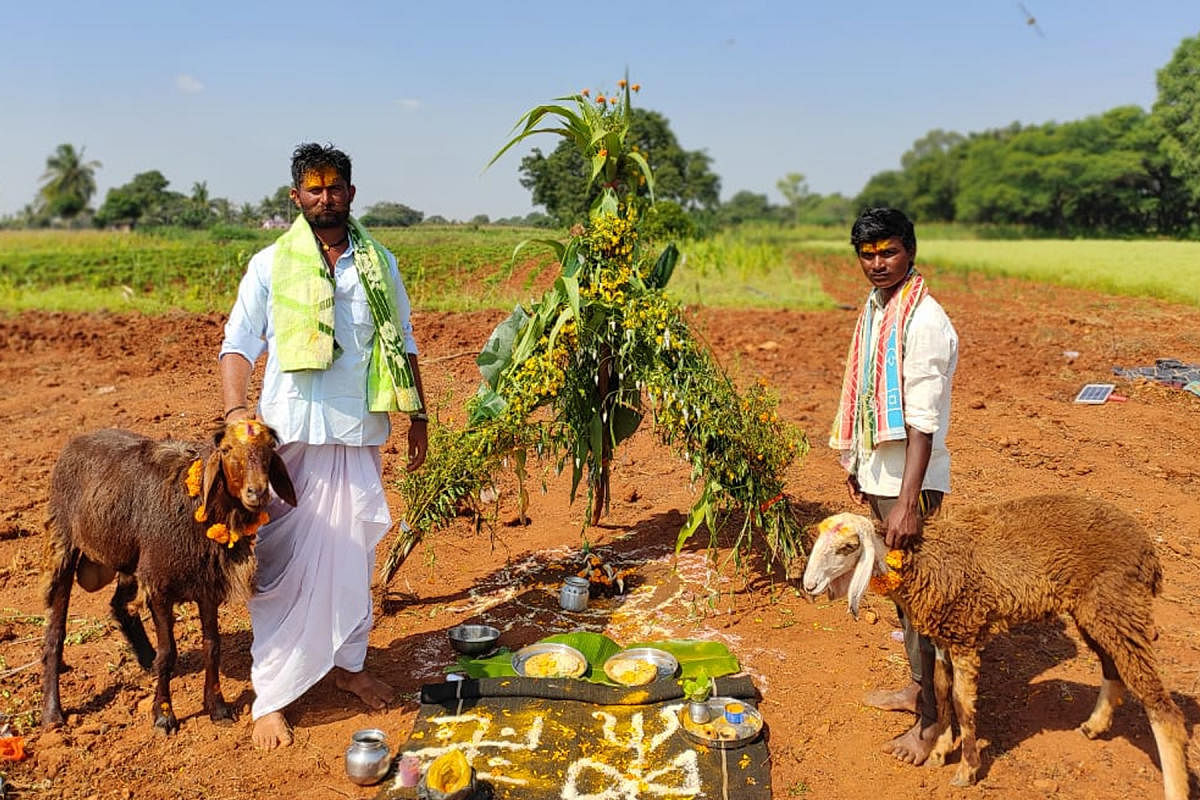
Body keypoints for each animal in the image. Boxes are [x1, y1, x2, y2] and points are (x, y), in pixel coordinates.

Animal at [42, 422, 297, 734]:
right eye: (226, 450)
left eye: (269, 449)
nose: (257, 493)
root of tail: (78, 438)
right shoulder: (159, 588)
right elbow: (168, 653)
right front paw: (163, 715)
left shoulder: (207, 586)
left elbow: (212, 646)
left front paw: (218, 708)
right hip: (65, 541)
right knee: (56, 631)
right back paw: (52, 712)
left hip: (132, 560)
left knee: (119, 605)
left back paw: (144, 658)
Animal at [801, 494, 1185, 800]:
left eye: (847, 548)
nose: (809, 585)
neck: (921, 560)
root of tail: (1147, 546)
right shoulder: (944, 637)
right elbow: (942, 692)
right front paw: (940, 752)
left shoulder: (965, 633)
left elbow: (961, 702)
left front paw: (967, 770)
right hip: (1096, 610)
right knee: (1112, 666)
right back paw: (1095, 725)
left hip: (1119, 602)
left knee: (1161, 705)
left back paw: (1174, 785)